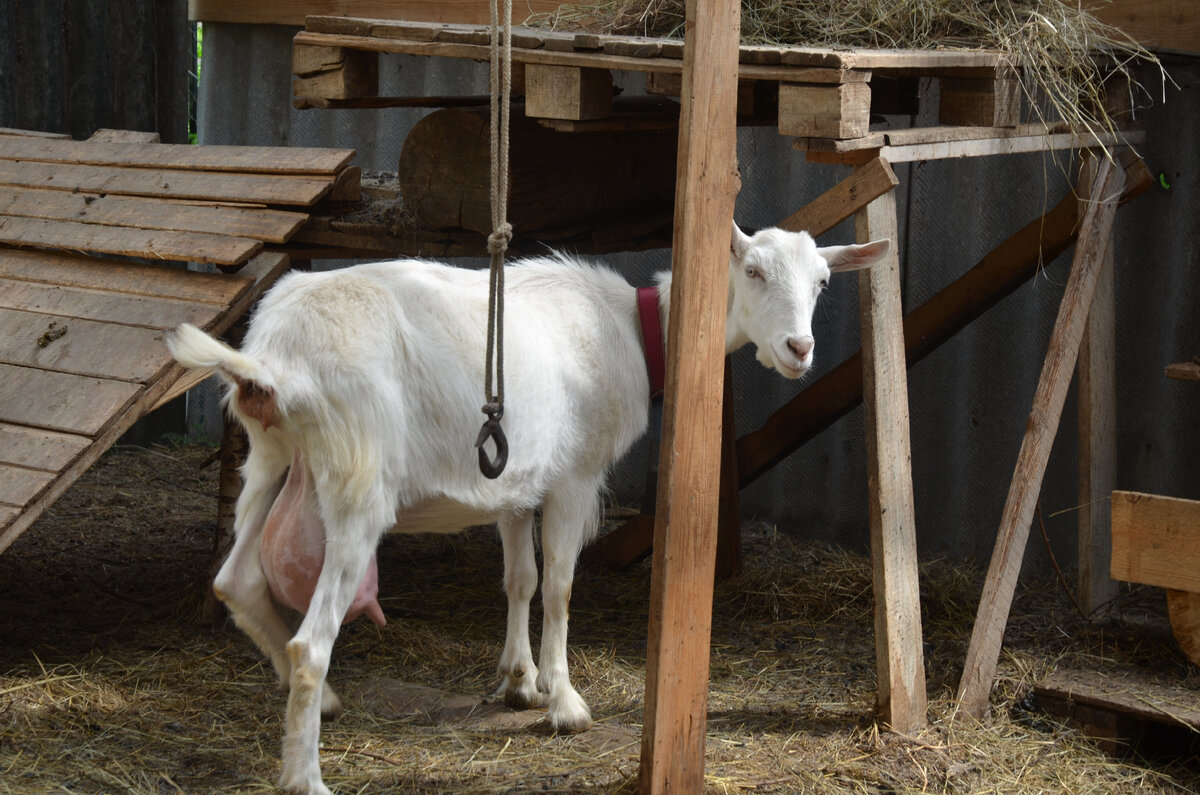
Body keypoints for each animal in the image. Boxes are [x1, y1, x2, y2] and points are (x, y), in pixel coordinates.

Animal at [164, 224, 888, 795]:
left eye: (823, 280)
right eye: (753, 270)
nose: (799, 349)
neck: (634, 330)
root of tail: (274, 359)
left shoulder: (514, 476)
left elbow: (521, 578)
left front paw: (519, 678)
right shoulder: (573, 476)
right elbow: (562, 584)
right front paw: (564, 701)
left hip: (272, 459)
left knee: (237, 581)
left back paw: (320, 705)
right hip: (355, 481)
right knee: (310, 641)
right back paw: (305, 774)